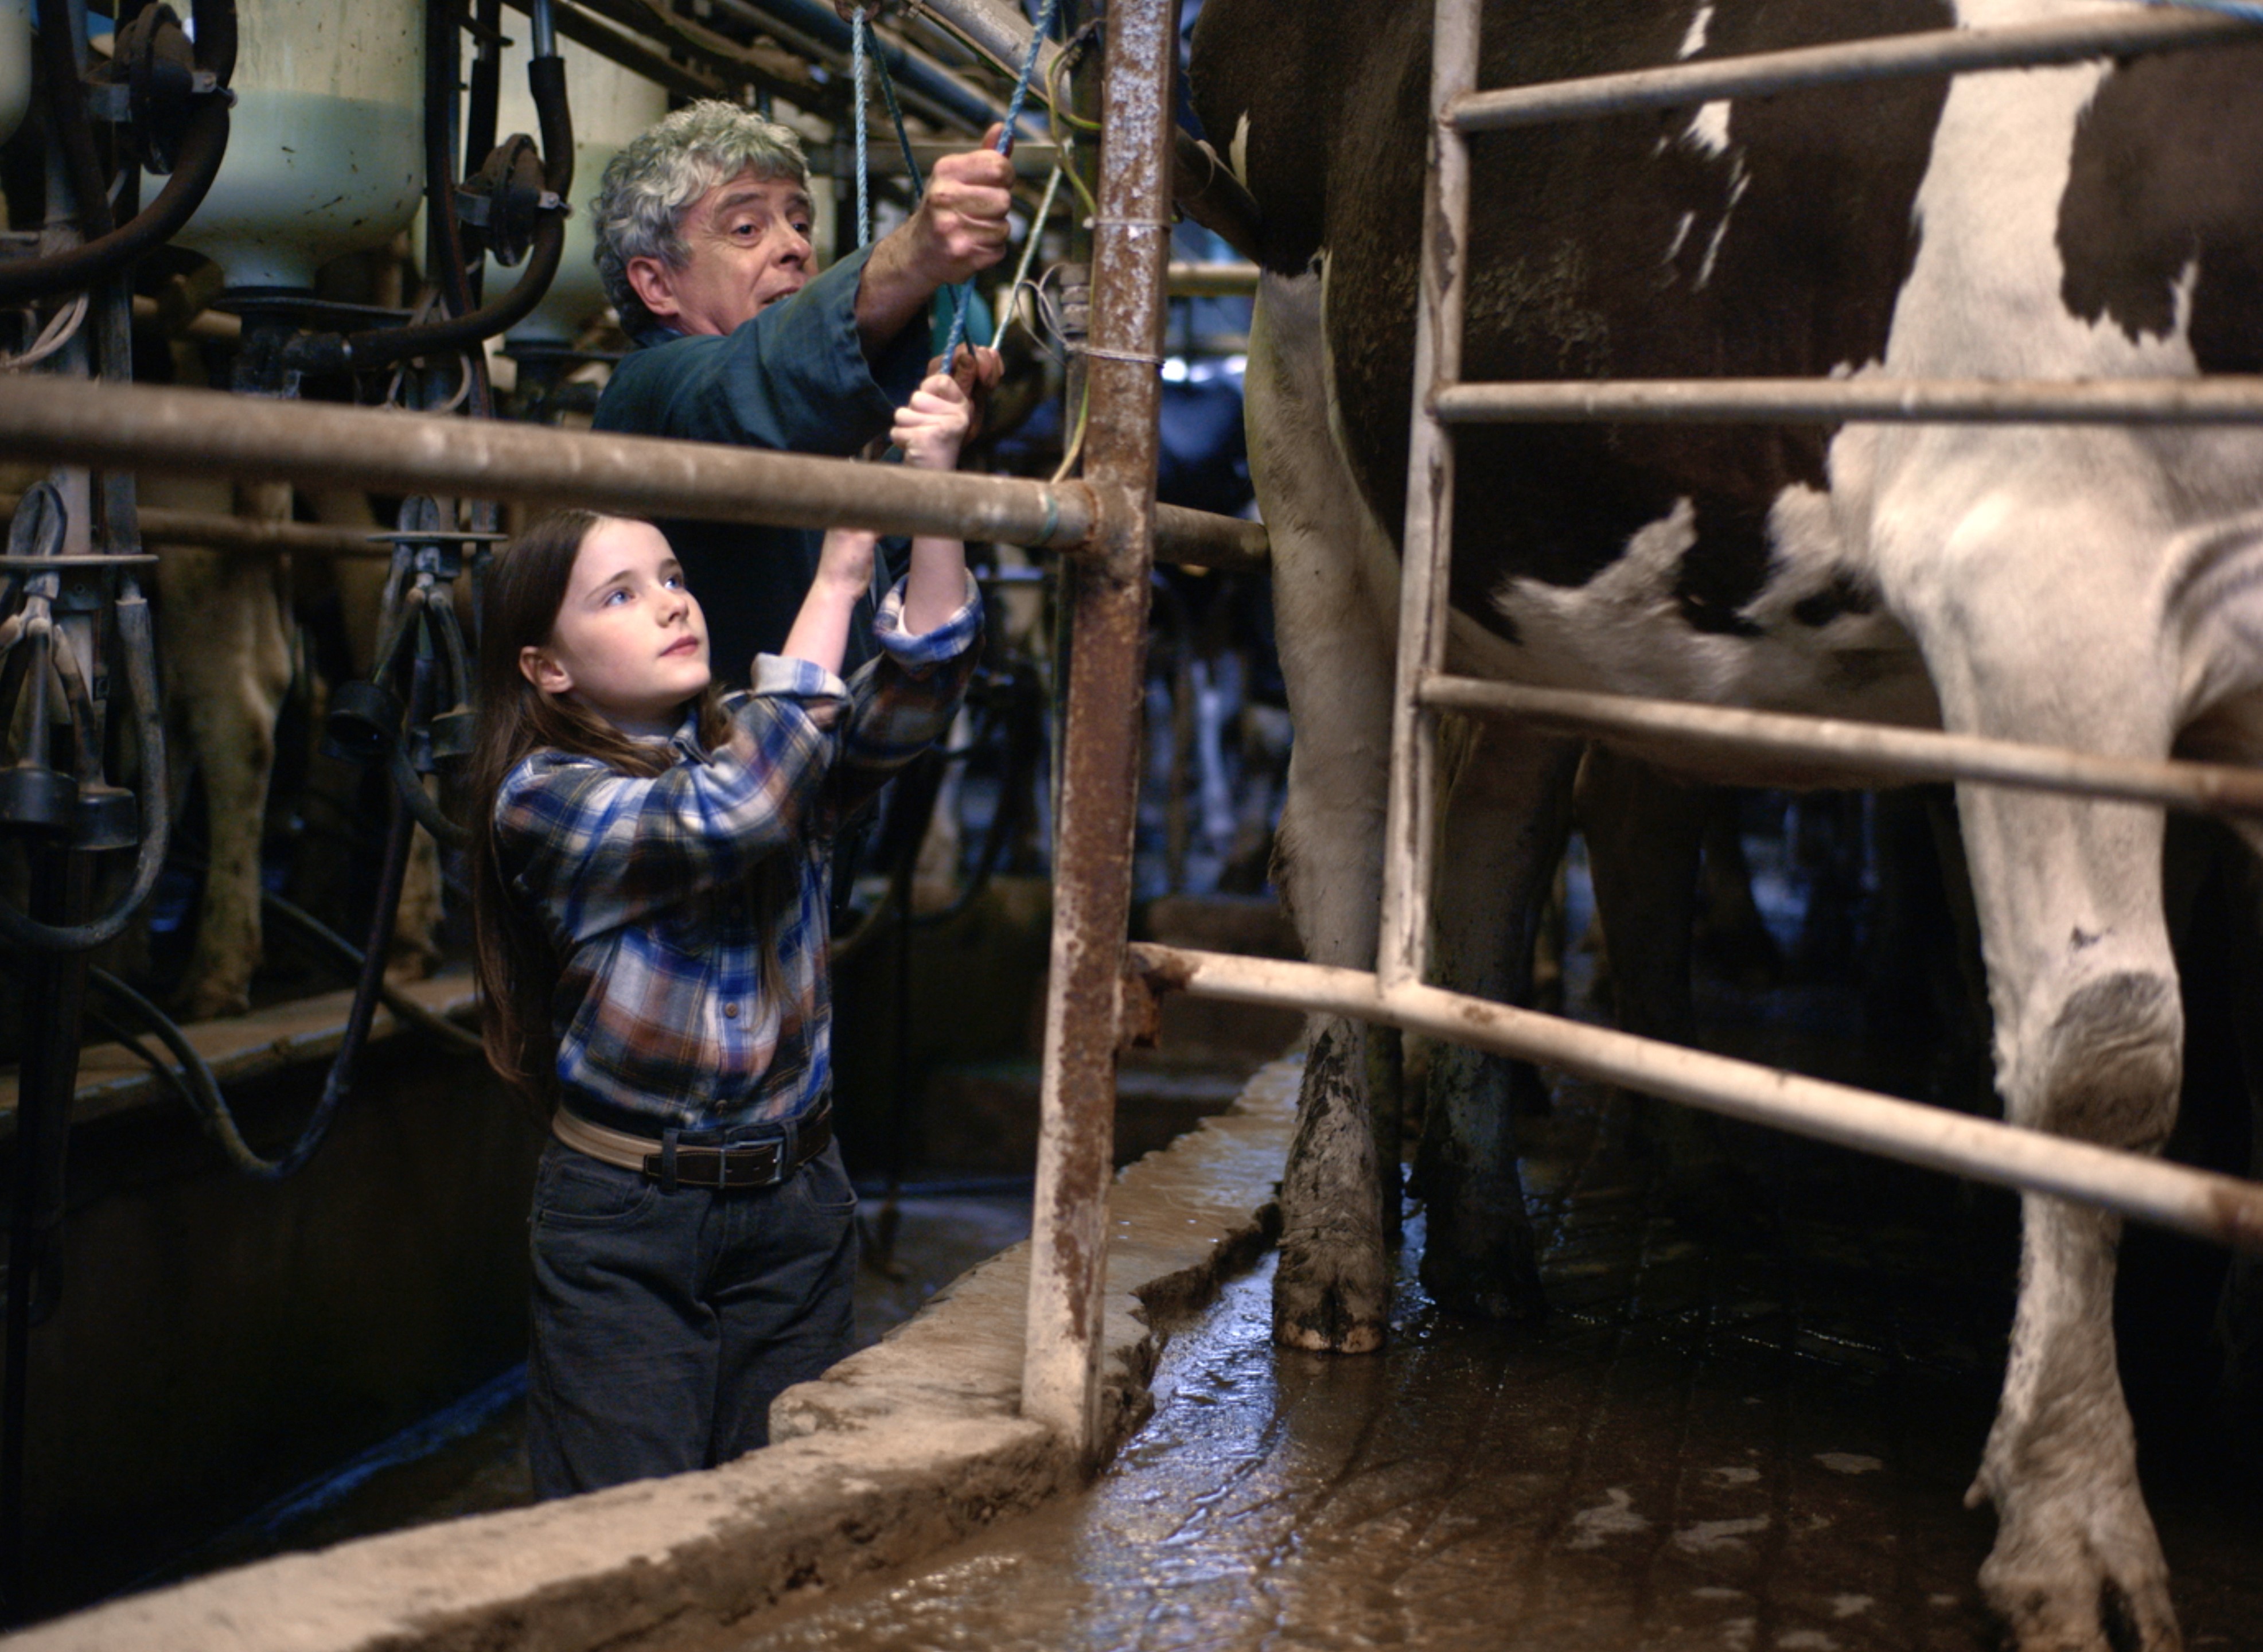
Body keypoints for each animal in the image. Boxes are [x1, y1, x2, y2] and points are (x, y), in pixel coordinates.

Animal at [1186, 3, 2263, 1647]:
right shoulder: (2041, 585)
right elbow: (2105, 1063)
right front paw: (2074, 1524)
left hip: (1518, 562)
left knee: (1496, 843)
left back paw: (1487, 1238)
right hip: (1306, 400)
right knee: (1350, 833)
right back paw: (1334, 1256)